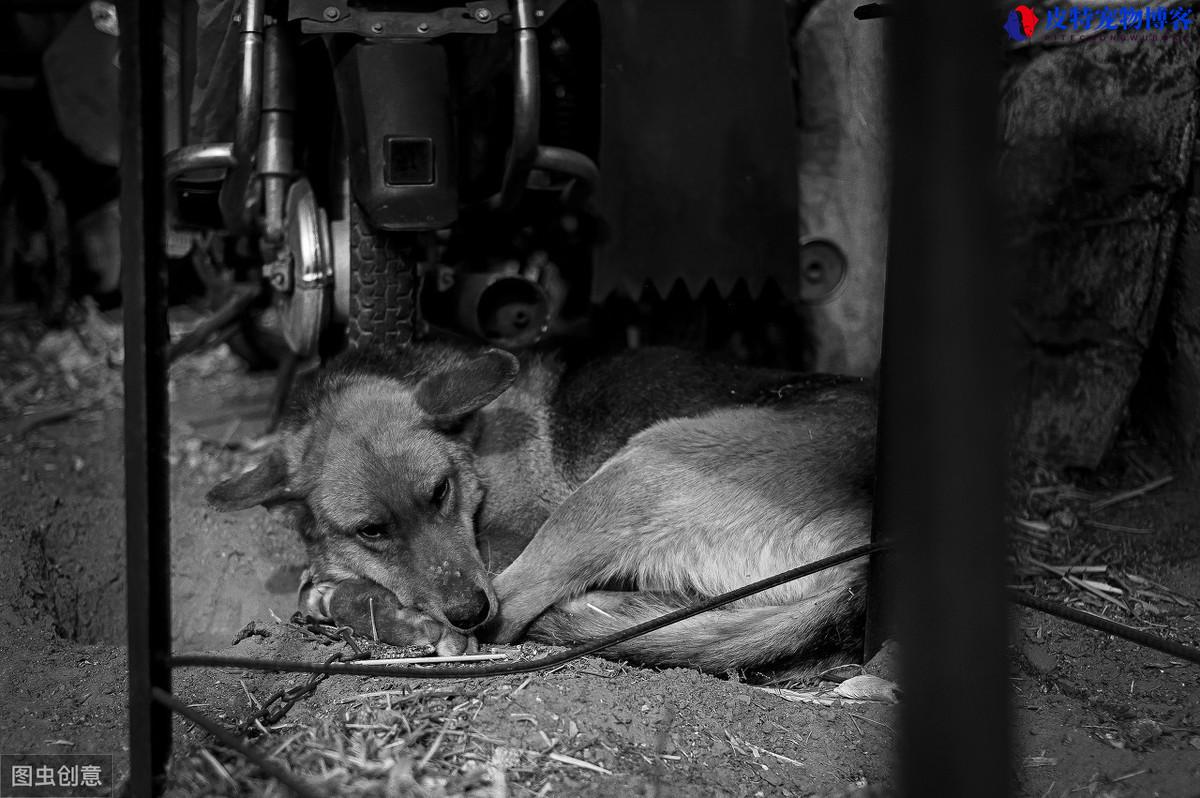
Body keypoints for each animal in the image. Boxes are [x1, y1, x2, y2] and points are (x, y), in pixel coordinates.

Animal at [211, 343, 878, 672]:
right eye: (372, 530)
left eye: (441, 492)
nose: (466, 611)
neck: (476, 439)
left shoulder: (503, 544)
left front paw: (365, 604)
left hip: (632, 473)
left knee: (514, 613)